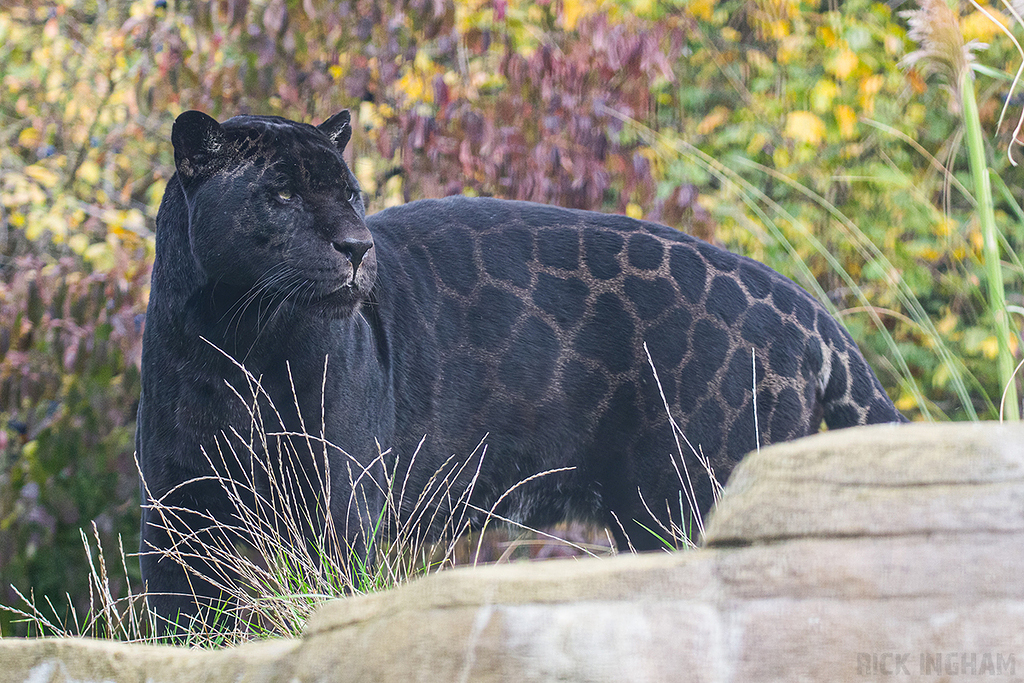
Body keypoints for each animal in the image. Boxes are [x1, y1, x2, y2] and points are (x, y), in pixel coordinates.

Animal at [137, 109, 905, 631]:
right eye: (282, 196)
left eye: (351, 193)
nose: (357, 246)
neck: (233, 343)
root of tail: (799, 301)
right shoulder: (175, 509)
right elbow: (177, 623)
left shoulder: (336, 506)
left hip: (690, 497)